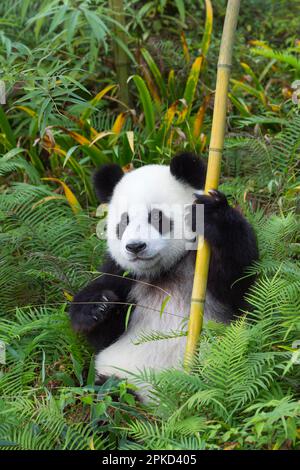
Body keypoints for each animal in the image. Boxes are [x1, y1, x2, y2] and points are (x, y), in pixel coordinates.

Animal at [69, 152, 258, 394]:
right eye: (124, 221)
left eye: (156, 217)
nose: (136, 247)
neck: (162, 272)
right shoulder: (123, 275)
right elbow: (103, 336)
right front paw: (98, 305)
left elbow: (241, 283)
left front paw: (211, 212)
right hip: (116, 376)